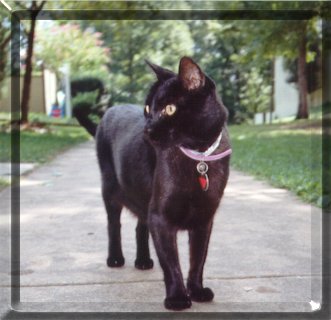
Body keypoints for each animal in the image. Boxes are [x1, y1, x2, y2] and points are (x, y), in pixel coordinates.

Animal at [74, 57, 231, 310]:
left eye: (170, 109)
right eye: (148, 109)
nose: (147, 129)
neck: (198, 157)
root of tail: (109, 110)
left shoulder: (204, 219)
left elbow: (198, 259)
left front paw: (197, 291)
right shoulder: (161, 216)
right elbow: (172, 263)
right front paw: (177, 298)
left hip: (142, 196)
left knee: (140, 227)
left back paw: (143, 260)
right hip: (110, 189)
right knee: (114, 225)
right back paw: (115, 258)